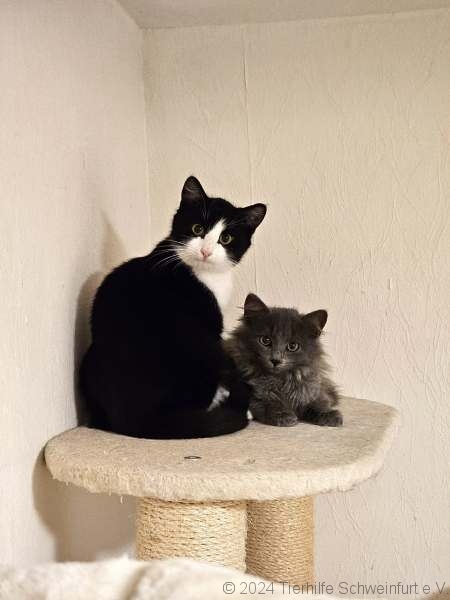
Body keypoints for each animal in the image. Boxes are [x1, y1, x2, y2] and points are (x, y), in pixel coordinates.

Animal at [80, 176, 266, 439]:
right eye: (197, 229)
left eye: (226, 239)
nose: (206, 251)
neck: (204, 274)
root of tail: (137, 417)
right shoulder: (211, 326)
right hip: (198, 346)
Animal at [226, 293, 343, 427]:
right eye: (265, 340)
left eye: (292, 346)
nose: (275, 360)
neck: (281, 380)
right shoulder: (248, 392)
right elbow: (266, 402)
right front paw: (283, 415)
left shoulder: (311, 388)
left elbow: (319, 401)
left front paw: (329, 414)